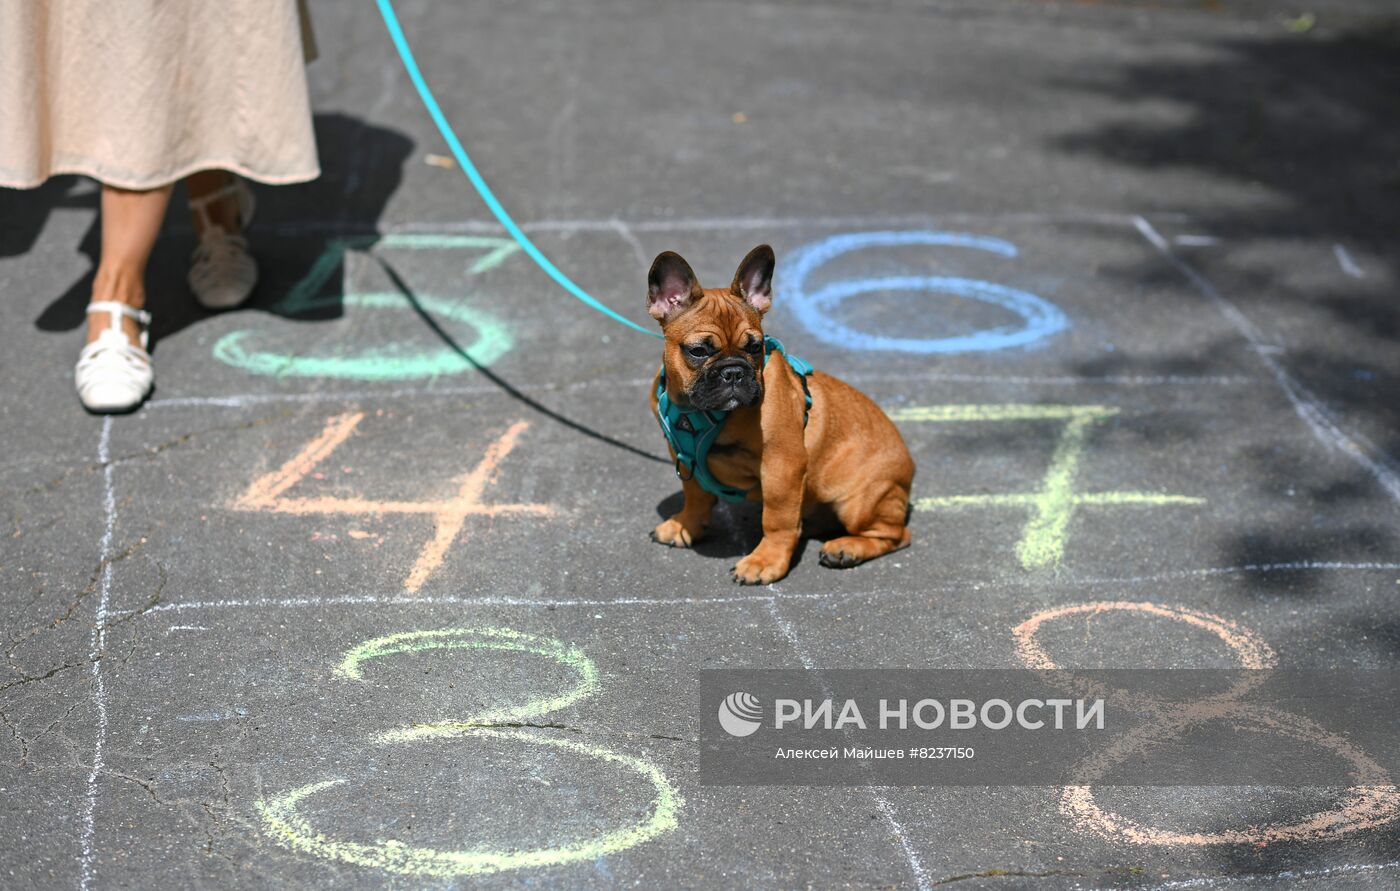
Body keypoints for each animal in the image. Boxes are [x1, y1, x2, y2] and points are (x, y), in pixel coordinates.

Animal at [646, 243, 912, 585]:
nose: (734, 372)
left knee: (895, 534)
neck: (702, 412)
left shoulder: (781, 465)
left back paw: (846, 548)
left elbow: (777, 518)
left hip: (860, 499)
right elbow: (696, 495)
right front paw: (686, 526)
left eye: (755, 346)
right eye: (699, 351)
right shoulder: (683, 457)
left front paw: (765, 561)